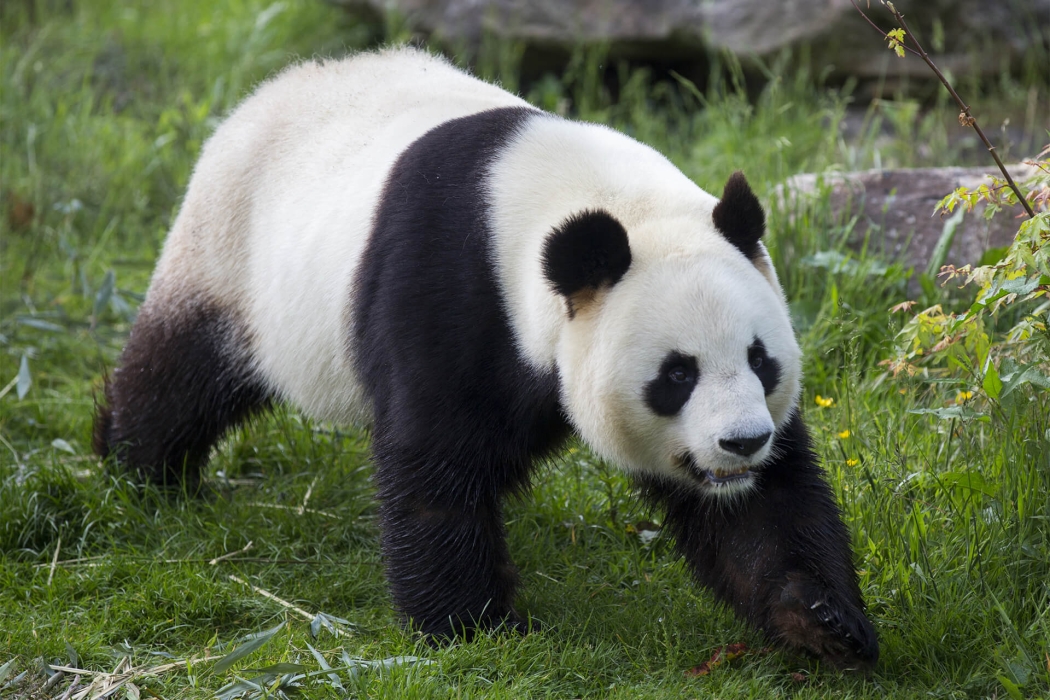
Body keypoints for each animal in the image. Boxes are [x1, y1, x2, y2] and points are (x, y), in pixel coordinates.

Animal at [96, 46, 877, 671]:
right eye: (676, 375)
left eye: (760, 360)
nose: (741, 443)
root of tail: (265, 93)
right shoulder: (447, 290)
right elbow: (434, 463)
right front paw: (474, 628)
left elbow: (763, 512)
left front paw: (823, 621)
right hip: (231, 260)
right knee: (179, 374)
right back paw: (136, 472)